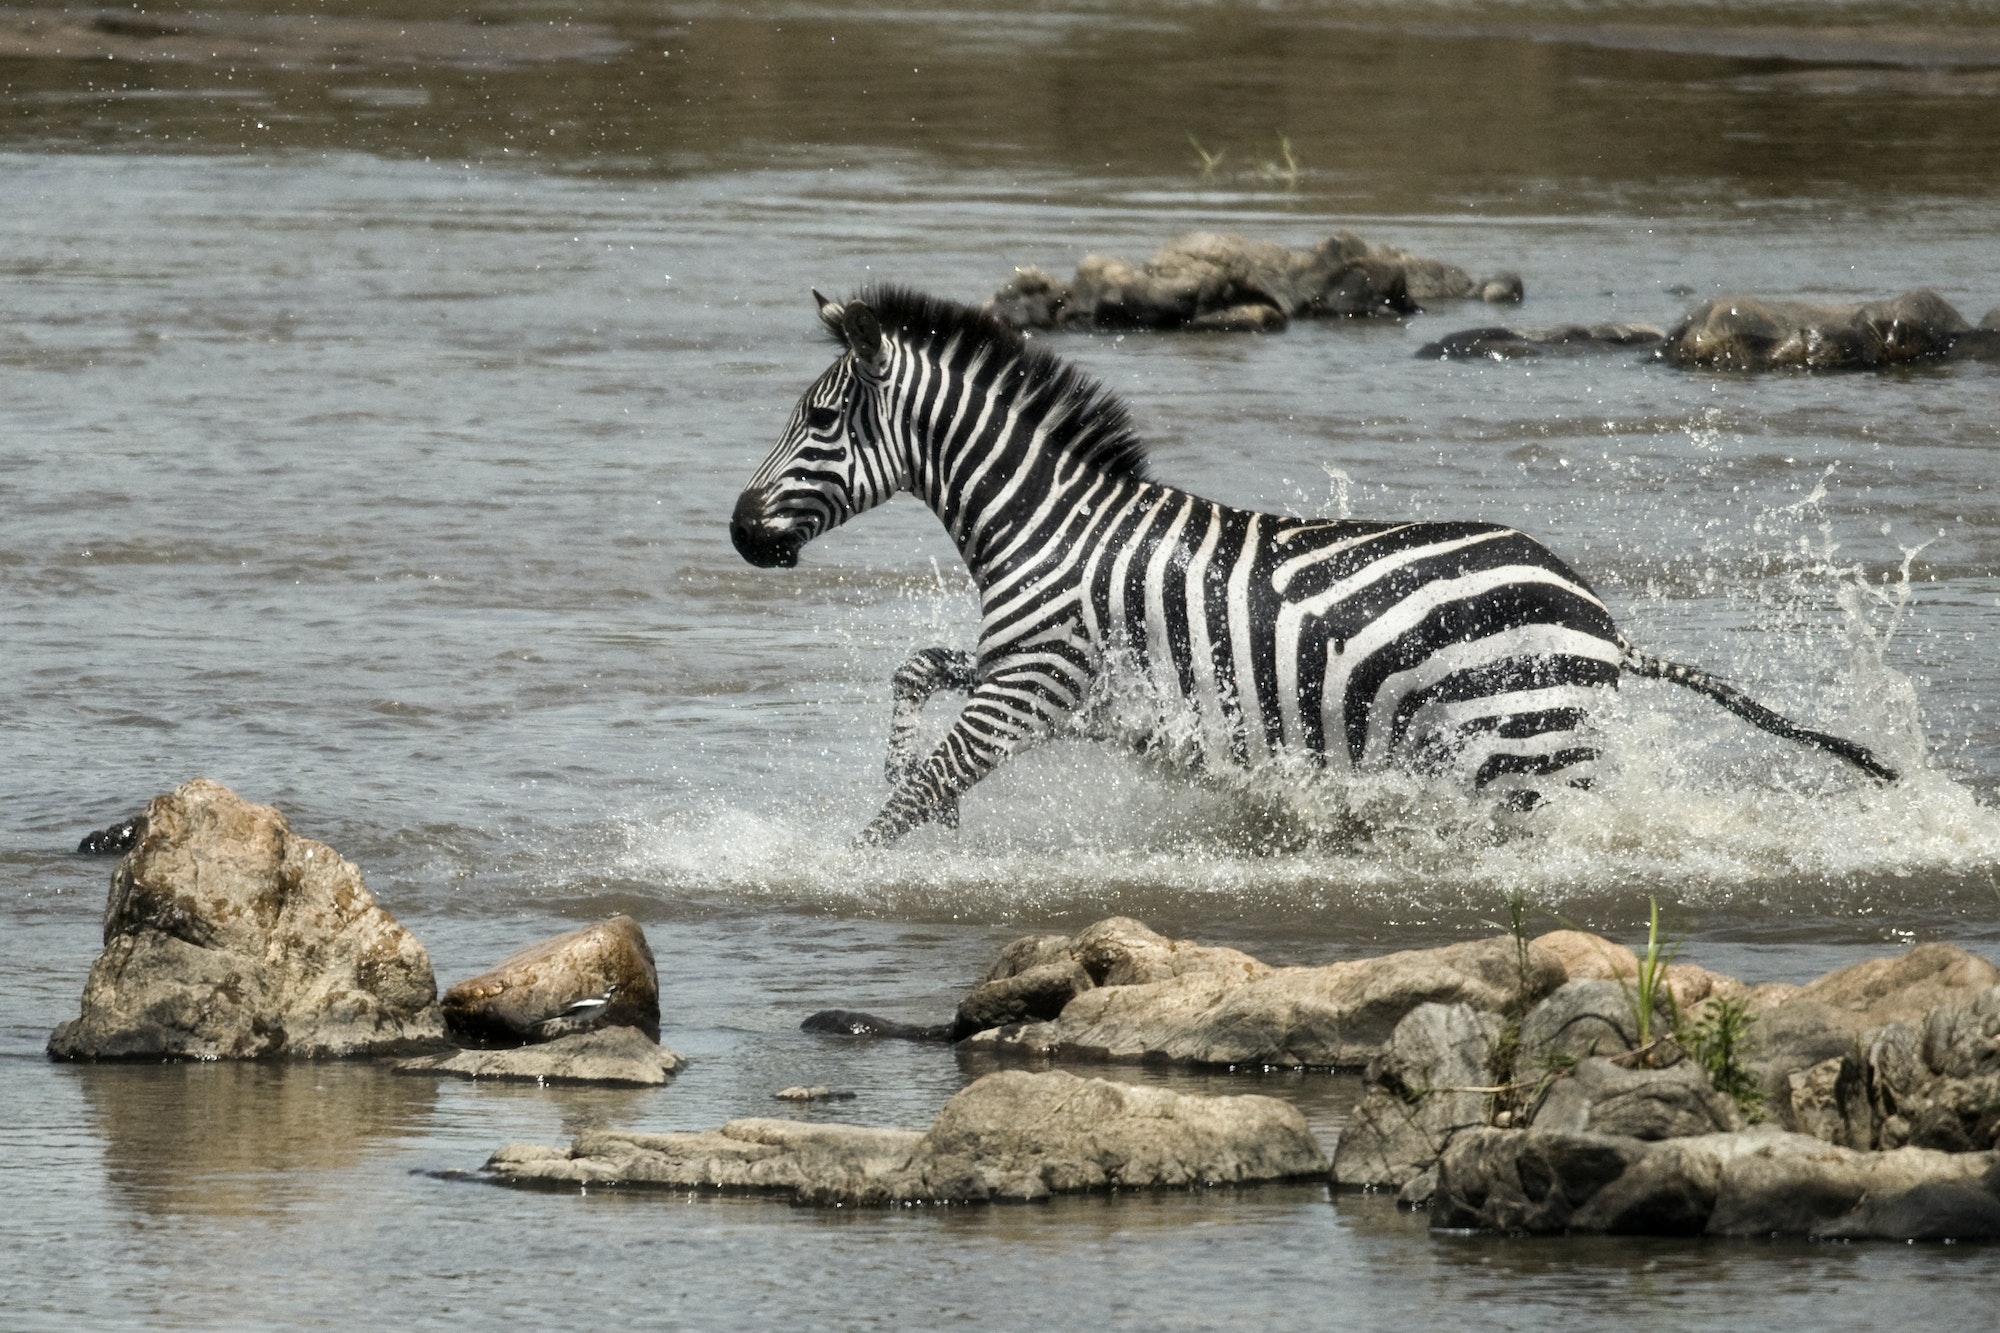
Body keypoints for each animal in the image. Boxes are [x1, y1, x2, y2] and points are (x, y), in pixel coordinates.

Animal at [728, 286, 1896, 844]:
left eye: (819, 422)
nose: (740, 533)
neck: (1049, 524)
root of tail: (1603, 620)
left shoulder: (1032, 682)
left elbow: (919, 783)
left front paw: (847, 867)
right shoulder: (1062, 684)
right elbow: (915, 678)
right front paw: (912, 795)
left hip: (1524, 750)